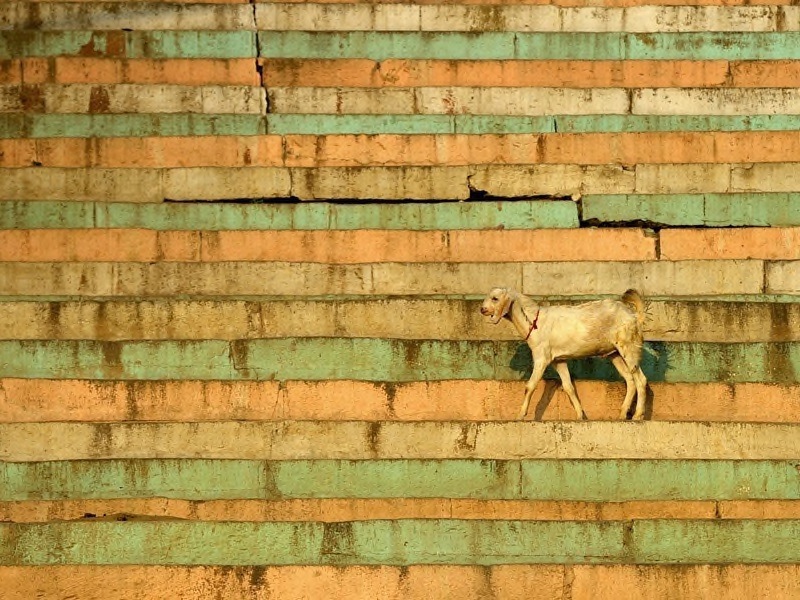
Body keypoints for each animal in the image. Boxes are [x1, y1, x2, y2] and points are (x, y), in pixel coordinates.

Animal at [480, 287, 647, 420]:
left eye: (495, 298)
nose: (482, 309)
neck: (534, 321)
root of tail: (634, 316)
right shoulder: (558, 360)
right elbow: (568, 387)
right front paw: (580, 416)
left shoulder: (541, 357)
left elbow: (530, 385)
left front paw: (520, 415)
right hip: (615, 353)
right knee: (630, 379)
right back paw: (622, 414)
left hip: (628, 346)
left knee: (640, 379)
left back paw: (638, 415)